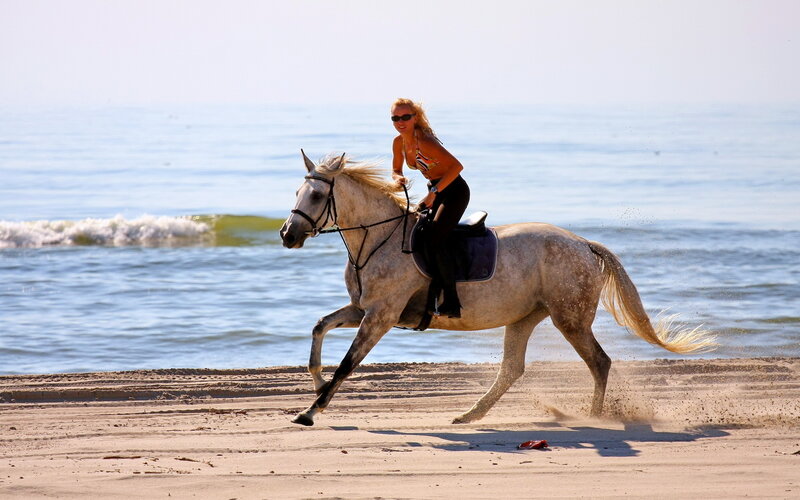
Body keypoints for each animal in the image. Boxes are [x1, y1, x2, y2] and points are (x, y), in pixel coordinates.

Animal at [279, 151, 715, 426]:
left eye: (316, 194)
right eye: (296, 193)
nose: (287, 235)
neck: (379, 240)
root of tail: (583, 244)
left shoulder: (381, 316)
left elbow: (347, 364)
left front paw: (310, 412)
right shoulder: (362, 309)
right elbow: (319, 327)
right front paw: (316, 383)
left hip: (569, 319)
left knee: (599, 362)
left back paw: (594, 418)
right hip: (526, 317)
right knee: (512, 369)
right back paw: (470, 415)